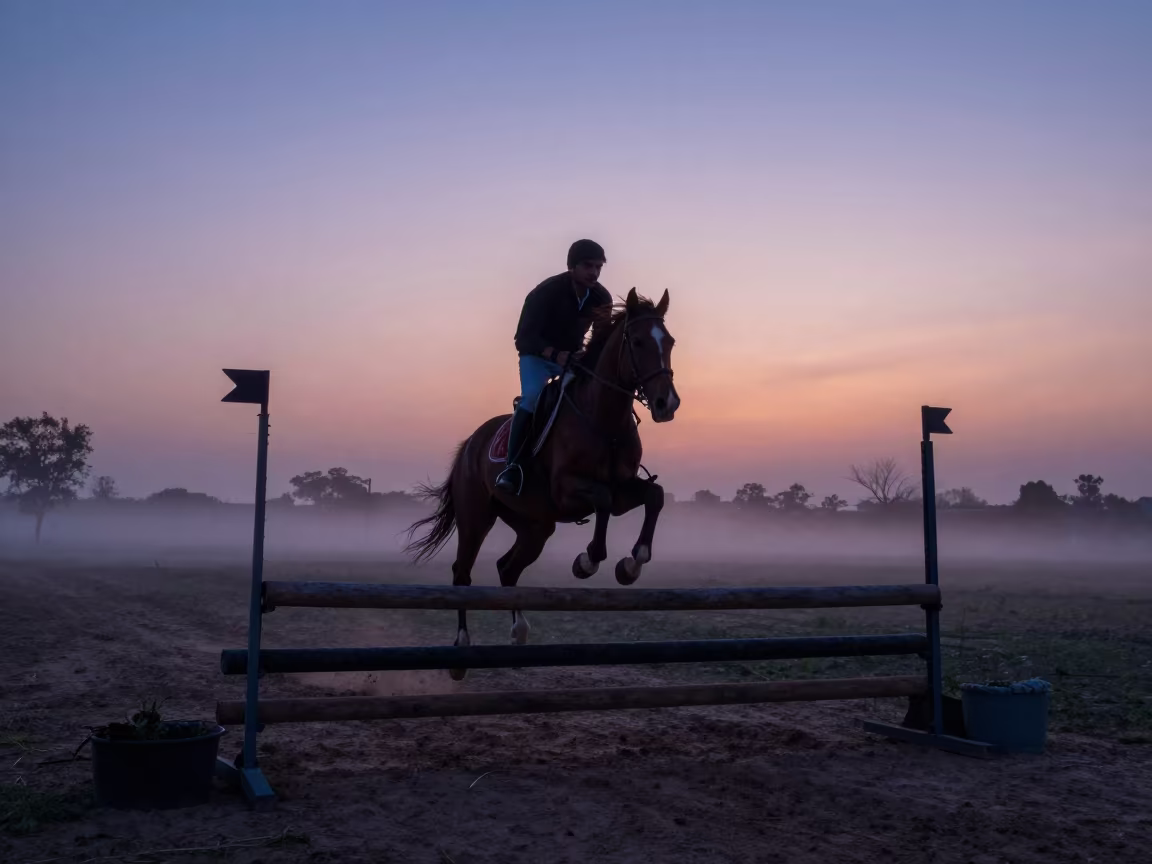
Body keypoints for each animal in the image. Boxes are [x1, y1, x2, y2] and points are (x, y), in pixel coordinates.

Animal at [404, 288, 680, 678]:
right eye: (638, 341)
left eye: (669, 342)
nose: (666, 403)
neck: (604, 419)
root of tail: (470, 443)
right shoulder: (566, 491)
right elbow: (603, 500)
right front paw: (588, 561)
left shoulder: (625, 488)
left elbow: (653, 496)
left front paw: (631, 564)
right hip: (476, 519)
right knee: (462, 575)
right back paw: (461, 651)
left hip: (536, 526)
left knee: (508, 567)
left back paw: (519, 631)